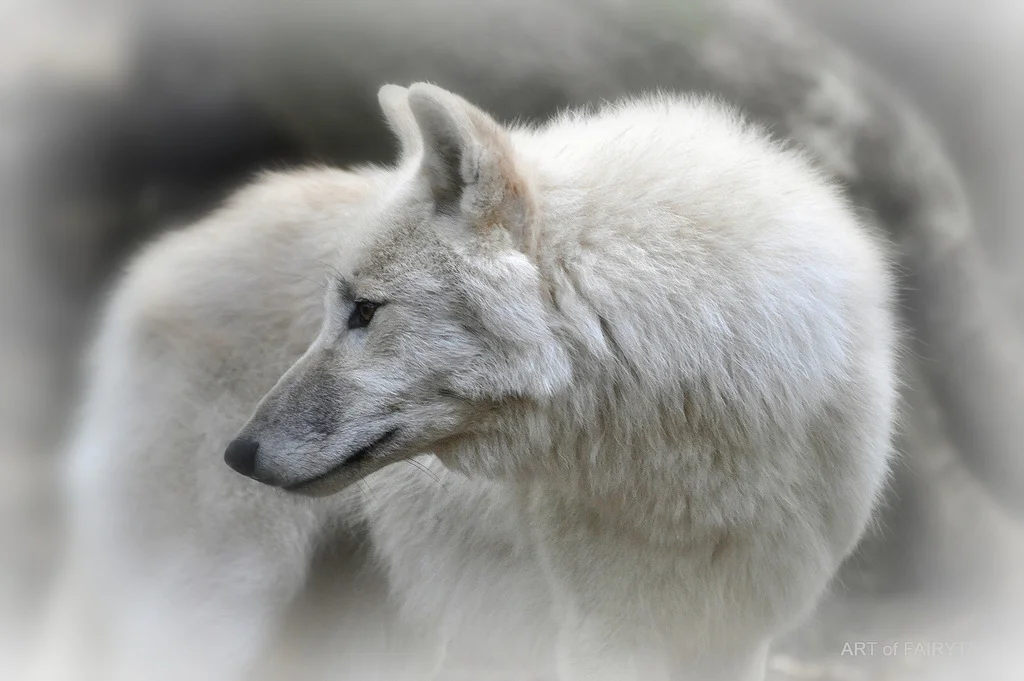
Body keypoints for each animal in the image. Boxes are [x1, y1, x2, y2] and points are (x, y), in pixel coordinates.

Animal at [32, 82, 897, 681]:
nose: (238, 452)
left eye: (365, 310)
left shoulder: (741, 635)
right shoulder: (609, 639)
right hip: (209, 615)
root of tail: (161, 256)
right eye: (332, 310)